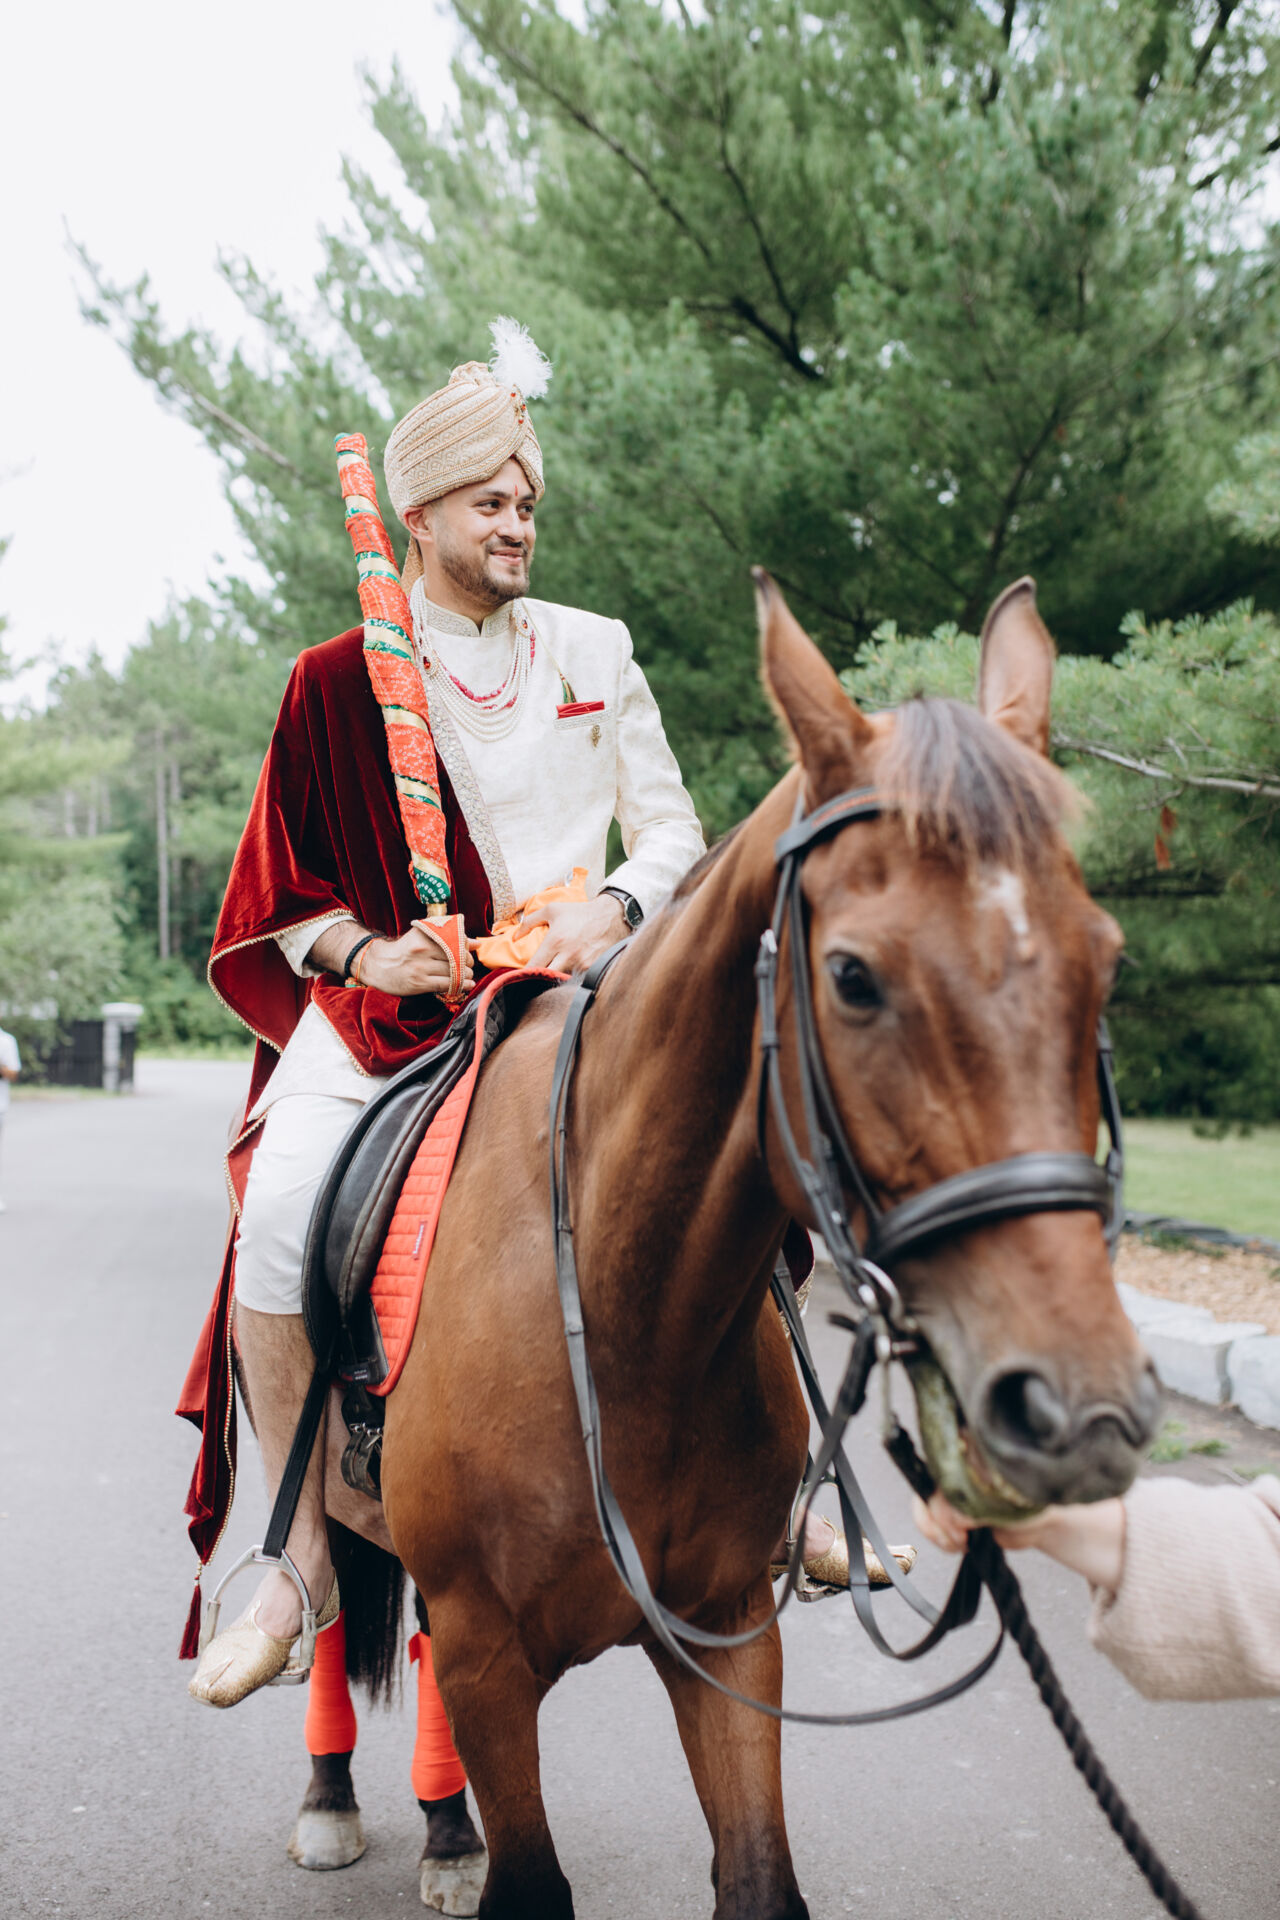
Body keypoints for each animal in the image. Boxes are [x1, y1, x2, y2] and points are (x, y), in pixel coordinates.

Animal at [289, 572, 1159, 1920]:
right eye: (851, 976)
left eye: (1103, 960)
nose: (1079, 1407)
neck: (622, 1316)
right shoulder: (491, 1657)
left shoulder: (726, 1630)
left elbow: (757, 1877)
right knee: (330, 1597)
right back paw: (333, 1795)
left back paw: (441, 1826)